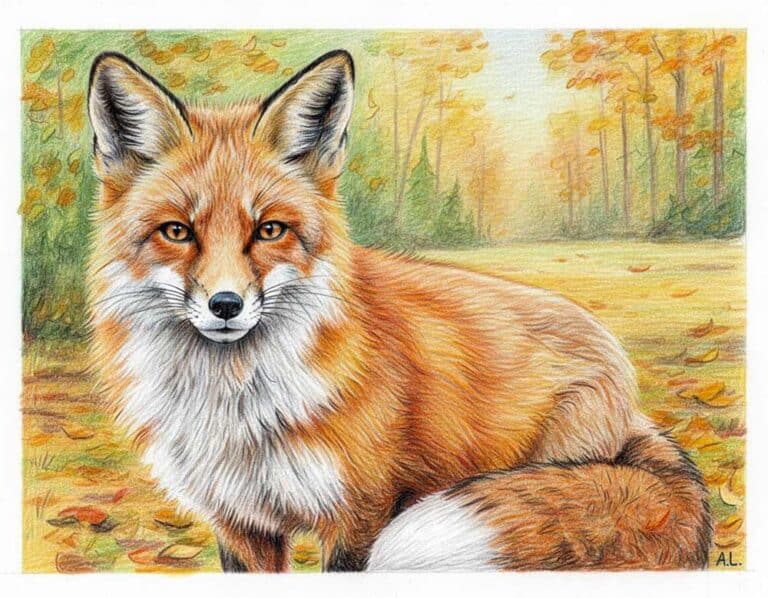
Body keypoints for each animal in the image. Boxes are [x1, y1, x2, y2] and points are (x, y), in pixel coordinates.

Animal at [86, 49, 711, 572]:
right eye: (177, 231)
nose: (225, 305)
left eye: (269, 230)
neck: (235, 408)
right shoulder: (241, 523)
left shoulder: (362, 515)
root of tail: (630, 400)